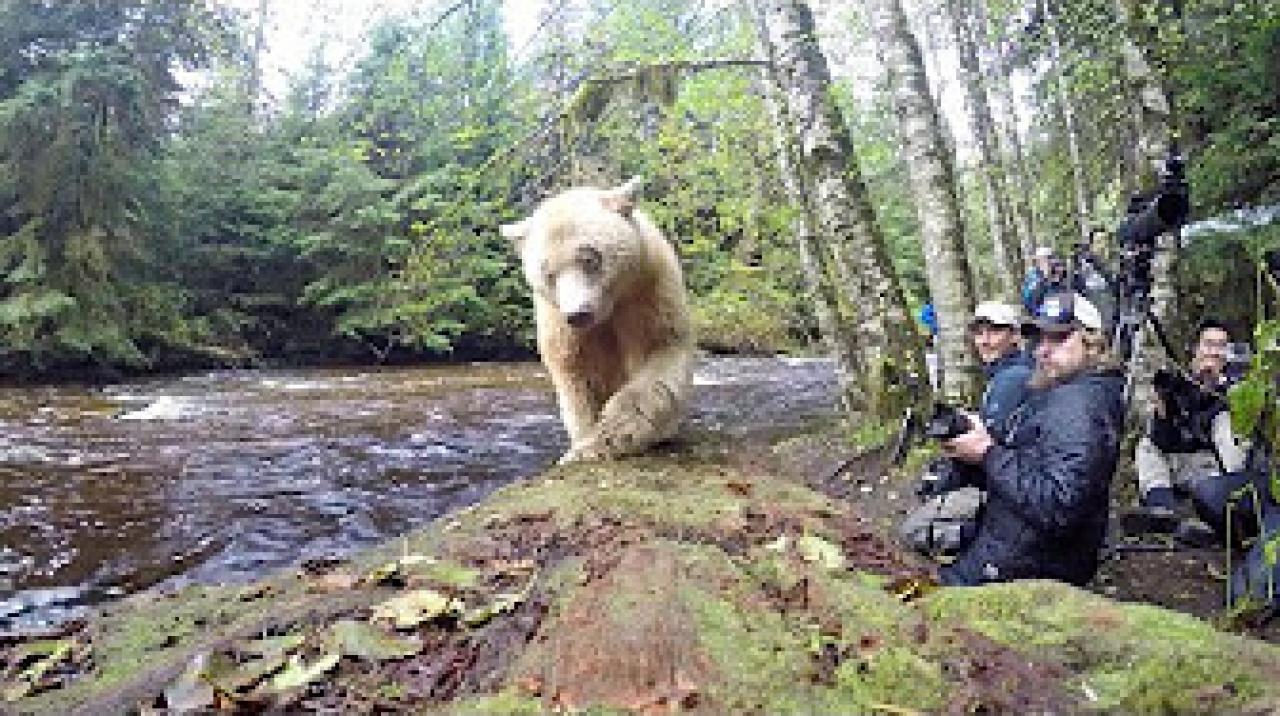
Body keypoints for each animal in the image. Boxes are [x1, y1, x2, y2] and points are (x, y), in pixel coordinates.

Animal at [504, 176, 696, 461]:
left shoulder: (648, 291)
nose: (578, 313)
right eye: (548, 273)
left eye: (589, 258)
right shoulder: (560, 322)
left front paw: (610, 434)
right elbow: (577, 376)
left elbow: (660, 351)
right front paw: (582, 445)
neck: (609, 307)